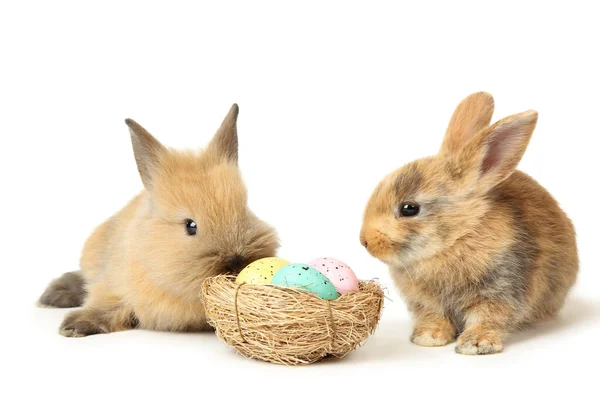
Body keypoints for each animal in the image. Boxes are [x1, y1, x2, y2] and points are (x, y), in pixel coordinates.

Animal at [39, 104, 278, 336]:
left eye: (245, 209)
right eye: (190, 226)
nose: (236, 263)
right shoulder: (112, 285)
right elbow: (106, 304)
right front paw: (73, 326)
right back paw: (52, 296)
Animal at [358, 92, 580, 354]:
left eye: (409, 208)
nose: (364, 240)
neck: (456, 239)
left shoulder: (500, 290)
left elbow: (488, 318)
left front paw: (476, 344)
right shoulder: (427, 303)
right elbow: (434, 317)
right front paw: (428, 338)